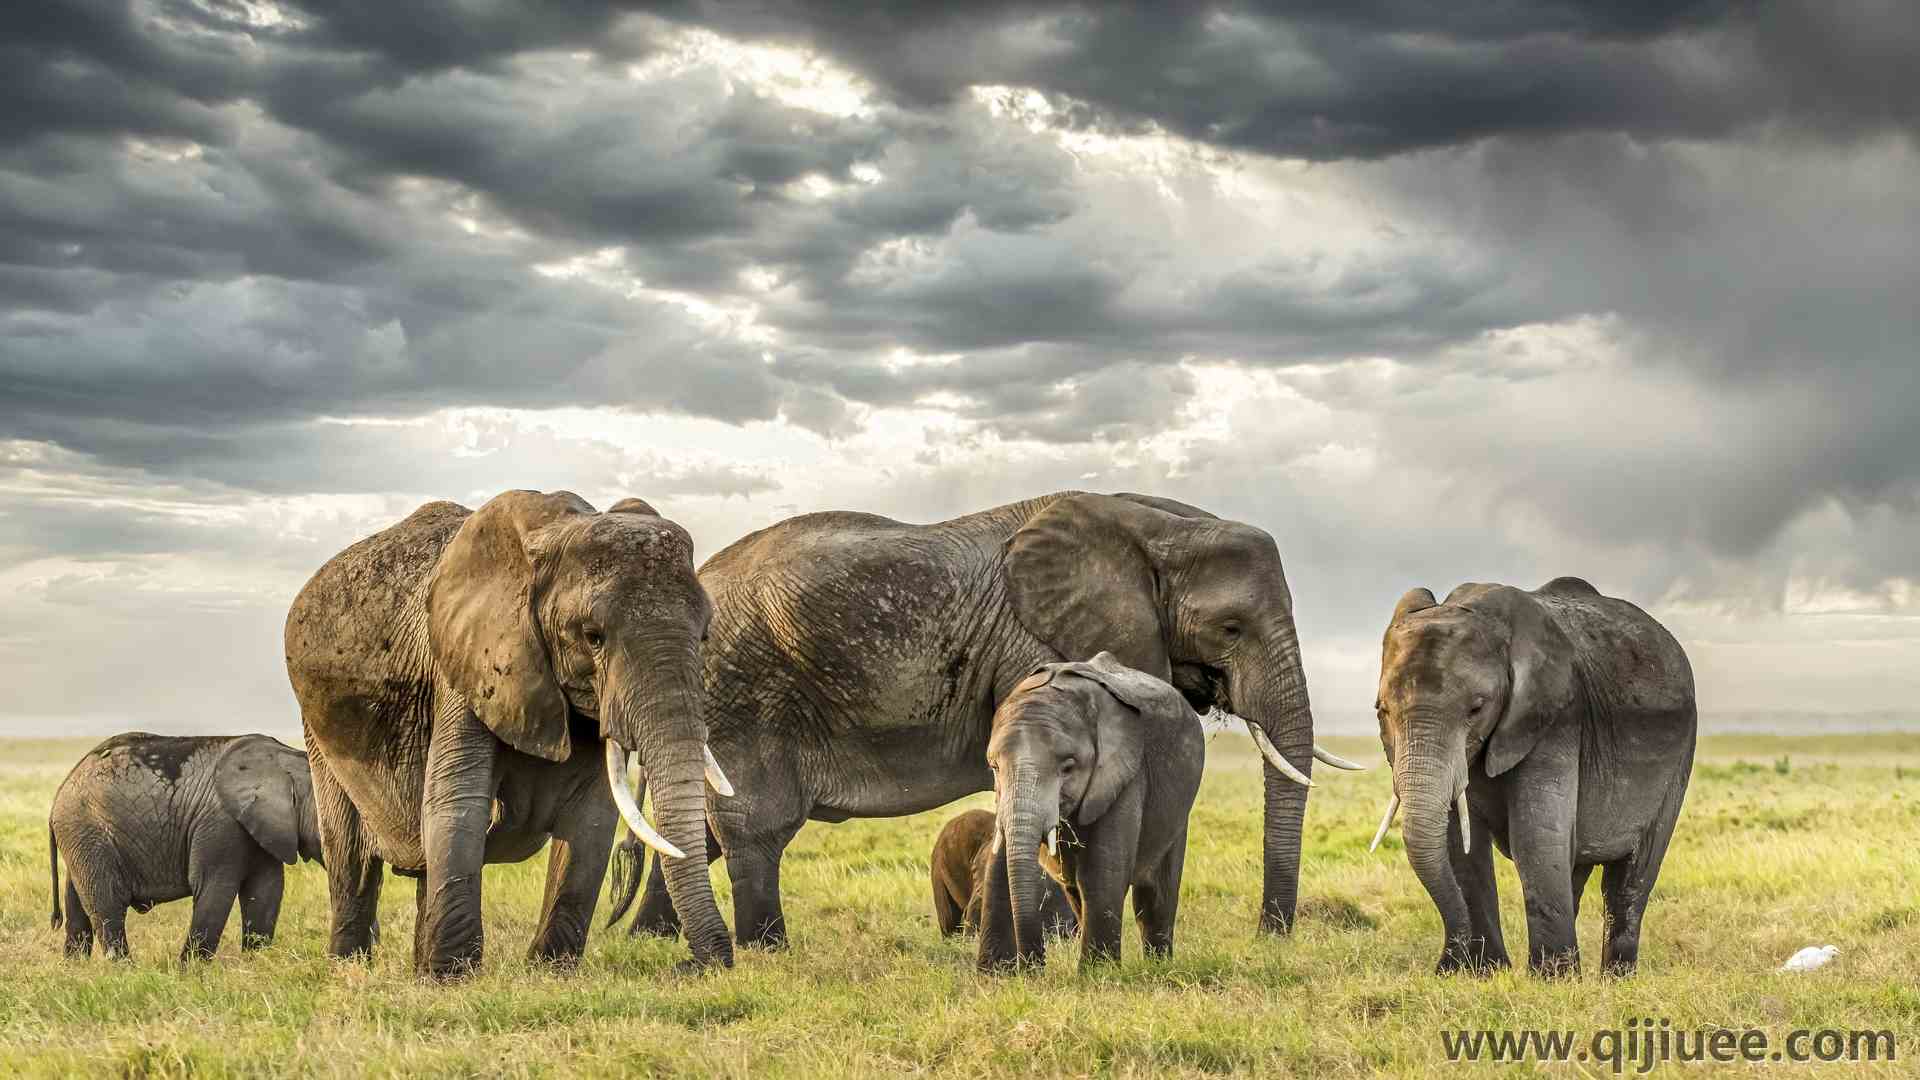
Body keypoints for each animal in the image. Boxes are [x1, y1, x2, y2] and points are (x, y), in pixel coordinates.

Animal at [48, 733, 321, 961]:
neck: (283, 762)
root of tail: (60, 791)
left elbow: (266, 892)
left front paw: (256, 965)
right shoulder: (220, 826)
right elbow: (215, 891)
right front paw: (191, 974)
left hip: (81, 839)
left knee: (77, 910)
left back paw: (75, 970)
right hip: (88, 832)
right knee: (107, 907)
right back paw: (125, 971)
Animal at [283, 490, 736, 977]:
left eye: (705, 635)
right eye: (593, 636)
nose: (693, 964)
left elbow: (592, 815)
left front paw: (551, 969)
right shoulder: (466, 665)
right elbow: (458, 799)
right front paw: (451, 978)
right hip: (317, 726)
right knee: (350, 854)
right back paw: (349, 964)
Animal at [976, 652, 1205, 970]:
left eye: (1068, 767)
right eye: (994, 767)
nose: (1035, 967)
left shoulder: (1127, 774)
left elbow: (1101, 870)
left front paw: (1098, 974)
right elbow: (998, 862)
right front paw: (995, 974)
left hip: (1178, 808)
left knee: (1155, 894)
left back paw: (1158, 966)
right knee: (1076, 892)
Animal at [1371, 577, 1697, 976]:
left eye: (1477, 708)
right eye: (1382, 710)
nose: (1445, 964)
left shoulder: (1557, 717)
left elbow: (1533, 835)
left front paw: (1550, 980)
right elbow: (1460, 843)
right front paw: (1483, 973)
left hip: (1679, 759)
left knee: (1631, 876)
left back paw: (1615, 979)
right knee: (1575, 865)